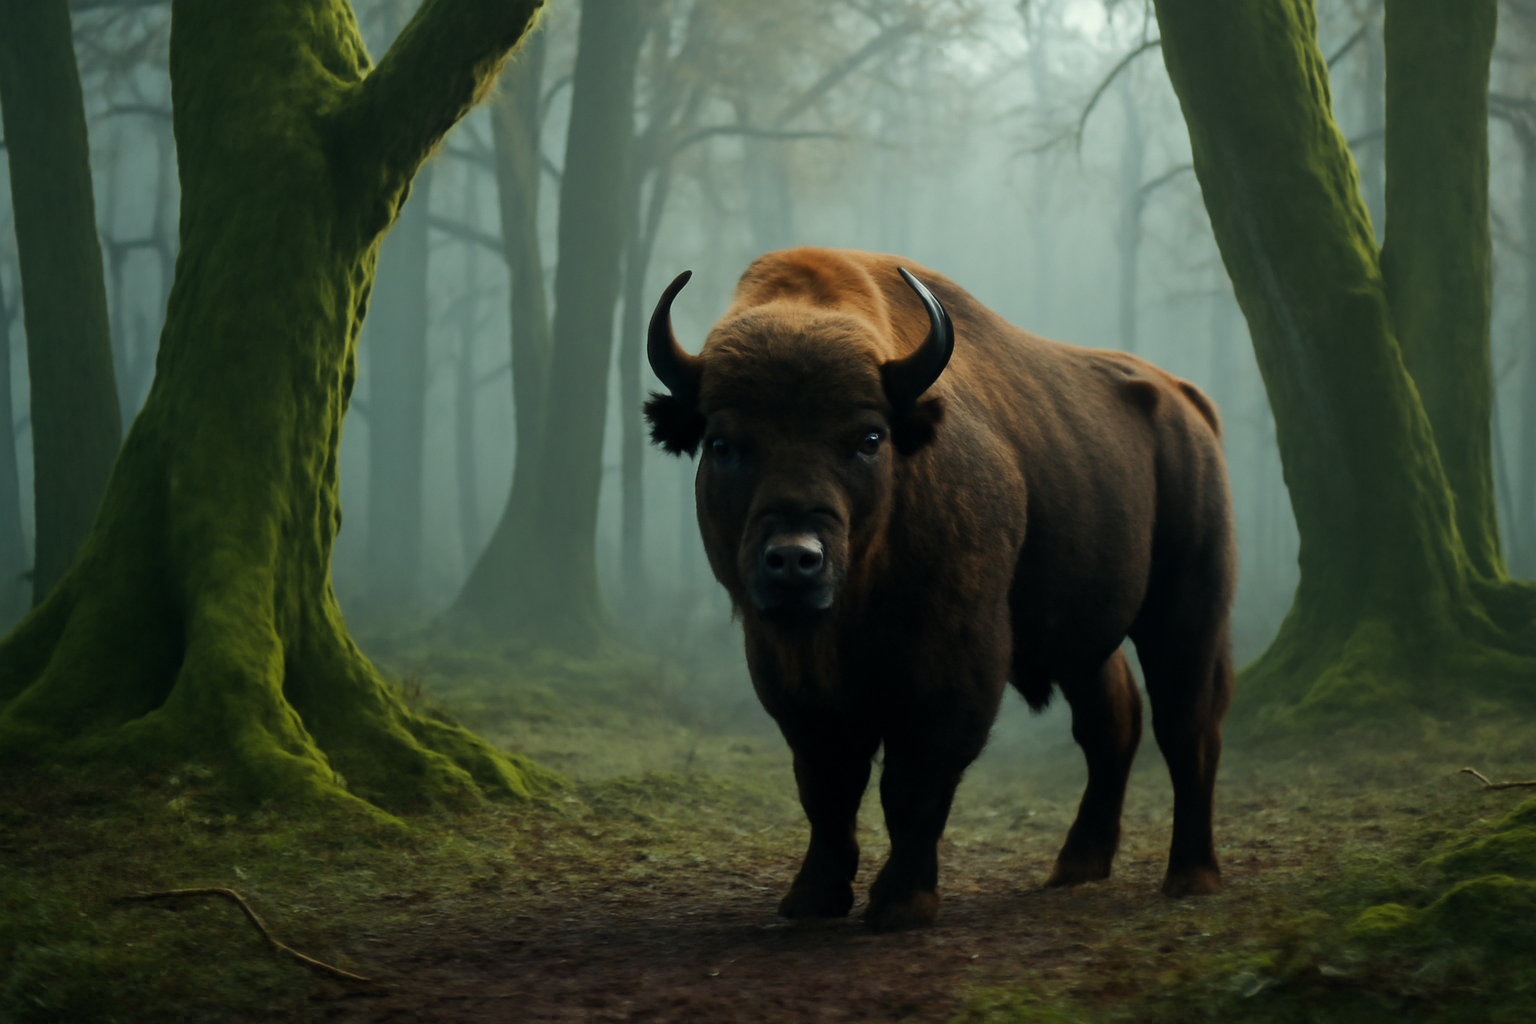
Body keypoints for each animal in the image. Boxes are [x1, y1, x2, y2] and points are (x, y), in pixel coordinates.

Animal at [645, 247, 1234, 931]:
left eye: (869, 438)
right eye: (722, 443)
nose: (795, 559)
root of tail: (1186, 403)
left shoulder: (953, 663)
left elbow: (913, 782)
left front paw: (902, 901)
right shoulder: (790, 675)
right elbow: (827, 784)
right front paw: (812, 897)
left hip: (1189, 607)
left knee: (1187, 725)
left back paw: (1191, 875)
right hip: (1082, 638)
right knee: (1112, 722)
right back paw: (1077, 865)